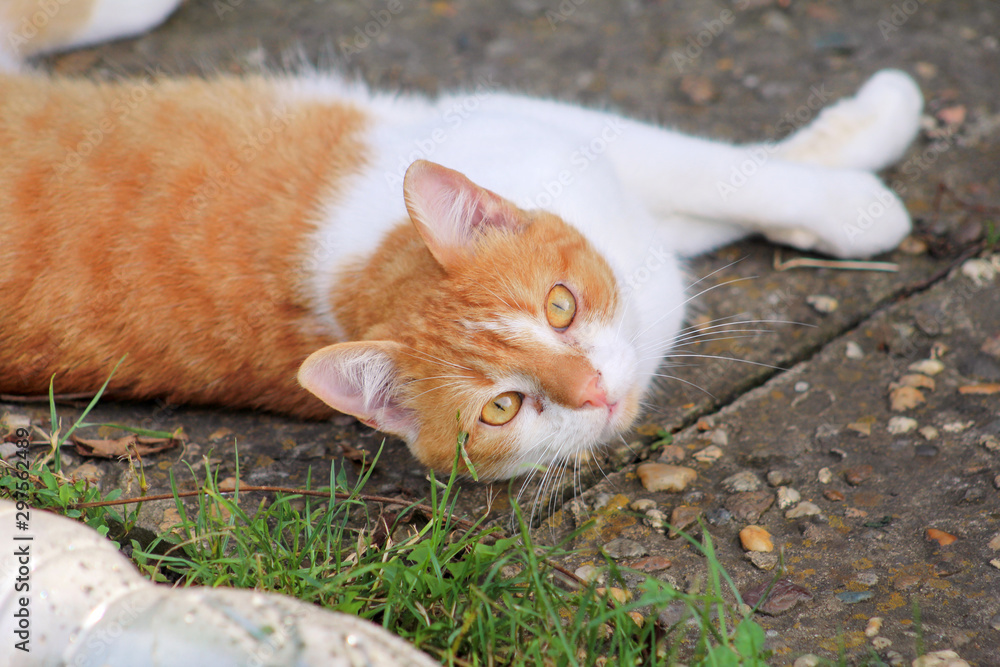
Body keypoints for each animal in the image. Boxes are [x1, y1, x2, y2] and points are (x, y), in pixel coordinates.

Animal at [0, 0, 920, 480]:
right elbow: (712, 178)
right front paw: (855, 194)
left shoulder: (531, 131)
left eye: (559, 306)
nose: (594, 391)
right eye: (502, 406)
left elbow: (711, 177)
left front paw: (854, 146)